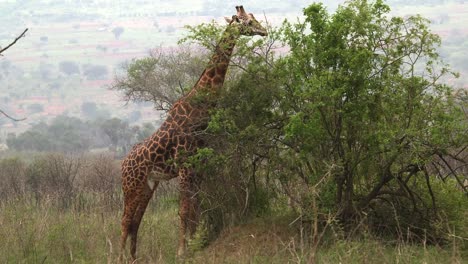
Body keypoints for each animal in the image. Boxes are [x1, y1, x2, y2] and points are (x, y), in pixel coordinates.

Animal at [119, 5, 268, 260]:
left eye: (254, 18)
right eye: (248, 22)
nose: (264, 31)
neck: (199, 108)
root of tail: (121, 166)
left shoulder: (199, 166)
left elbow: (196, 207)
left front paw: (197, 243)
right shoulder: (185, 167)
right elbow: (184, 209)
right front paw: (182, 250)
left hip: (146, 187)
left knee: (135, 222)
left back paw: (134, 258)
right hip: (130, 186)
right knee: (124, 220)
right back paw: (117, 257)